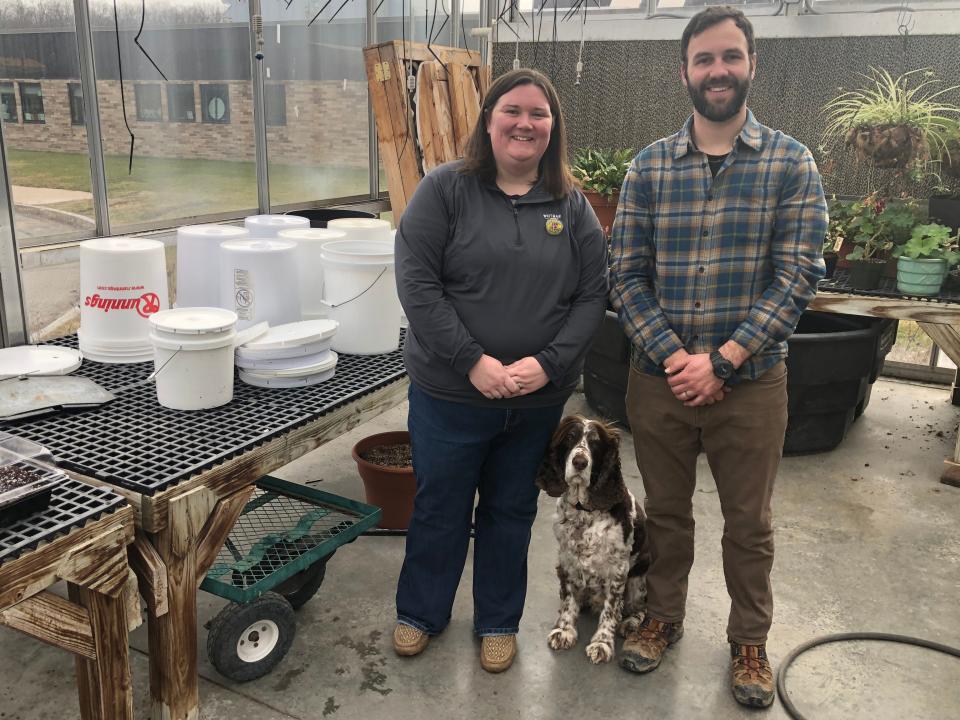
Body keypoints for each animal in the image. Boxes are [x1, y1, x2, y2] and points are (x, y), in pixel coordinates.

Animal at [536, 416, 648, 664]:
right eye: (570, 437)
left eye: (596, 443)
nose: (580, 462)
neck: (583, 511)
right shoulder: (567, 560)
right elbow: (569, 599)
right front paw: (564, 630)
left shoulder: (618, 570)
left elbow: (610, 609)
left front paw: (602, 643)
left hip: (639, 579)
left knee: (641, 608)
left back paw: (629, 623)